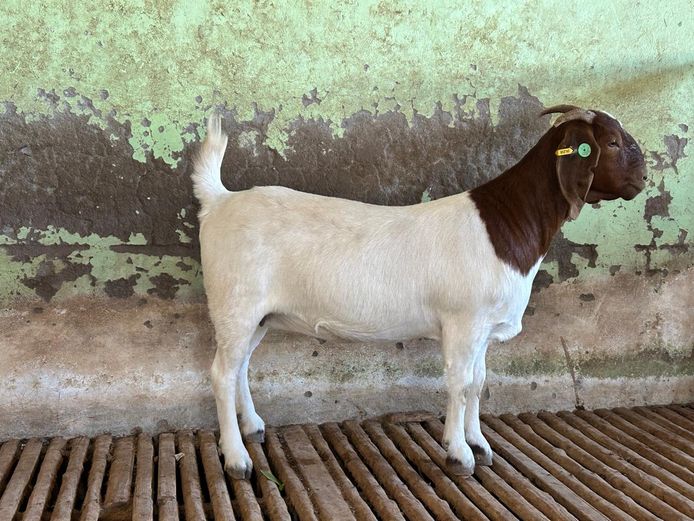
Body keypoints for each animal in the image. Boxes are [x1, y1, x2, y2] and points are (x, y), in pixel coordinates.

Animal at [192, 106, 647, 479]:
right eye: (611, 142)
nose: (644, 178)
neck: (506, 224)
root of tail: (219, 200)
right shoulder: (463, 321)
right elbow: (460, 384)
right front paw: (459, 453)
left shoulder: (483, 329)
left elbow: (479, 382)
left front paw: (479, 444)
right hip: (235, 304)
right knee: (221, 373)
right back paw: (237, 459)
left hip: (258, 316)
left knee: (240, 368)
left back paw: (253, 427)